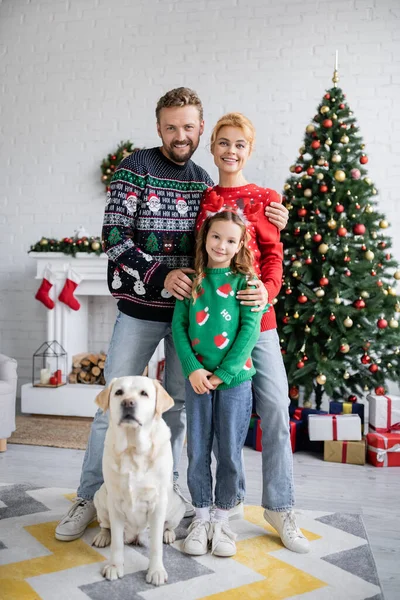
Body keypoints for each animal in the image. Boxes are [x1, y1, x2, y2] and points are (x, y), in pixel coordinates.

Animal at [93, 376, 187, 584]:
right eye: (118, 392)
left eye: (144, 393)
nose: (128, 403)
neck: (132, 449)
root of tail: (135, 537)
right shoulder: (114, 502)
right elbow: (117, 543)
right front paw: (115, 566)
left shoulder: (158, 504)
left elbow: (156, 547)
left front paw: (156, 571)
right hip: (100, 496)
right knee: (105, 526)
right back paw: (102, 537)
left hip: (178, 505)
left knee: (168, 527)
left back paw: (168, 534)